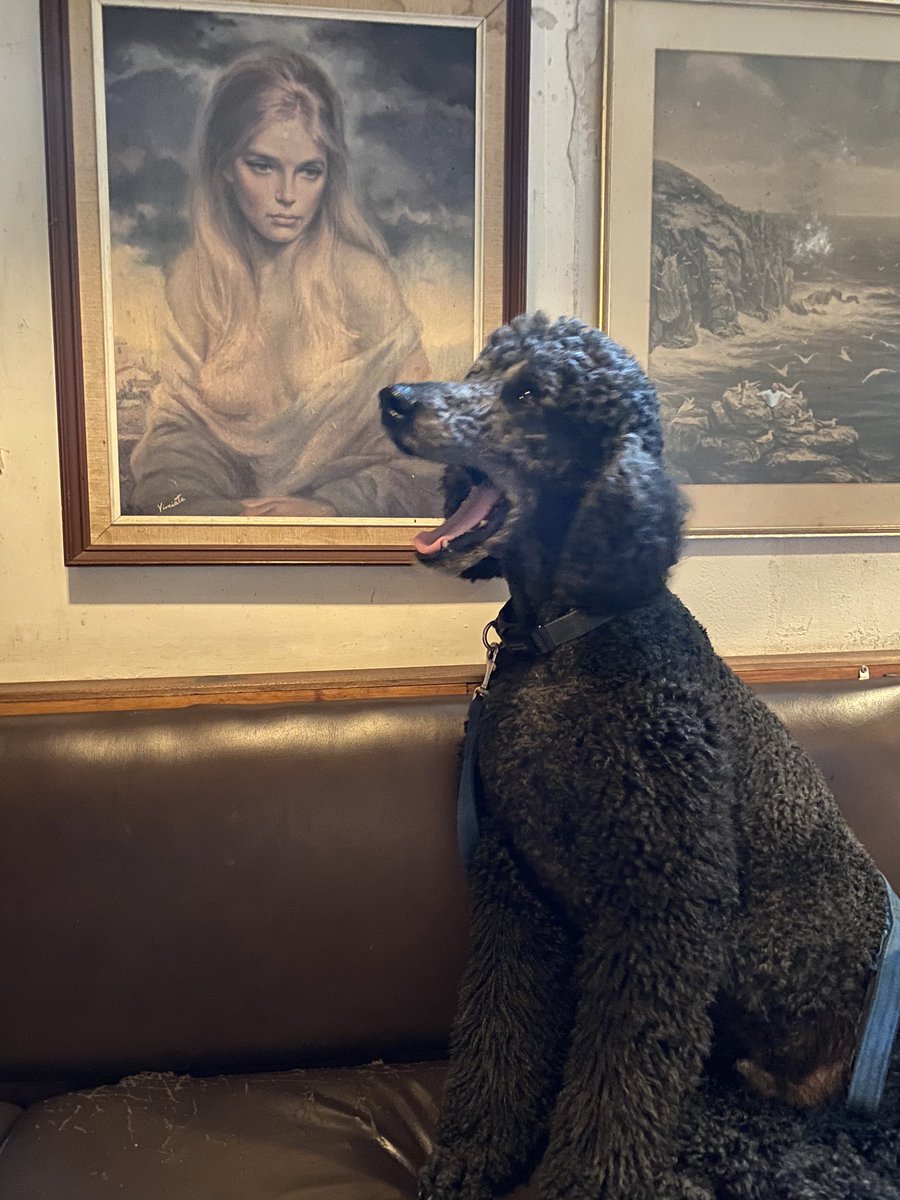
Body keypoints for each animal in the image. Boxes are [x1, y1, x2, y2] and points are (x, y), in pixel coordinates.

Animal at [380, 313, 887, 1200]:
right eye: (479, 370)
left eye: (529, 393)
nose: (396, 398)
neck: (567, 639)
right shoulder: (516, 884)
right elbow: (501, 1028)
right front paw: (477, 1152)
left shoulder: (660, 903)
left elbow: (621, 1073)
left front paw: (584, 1179)